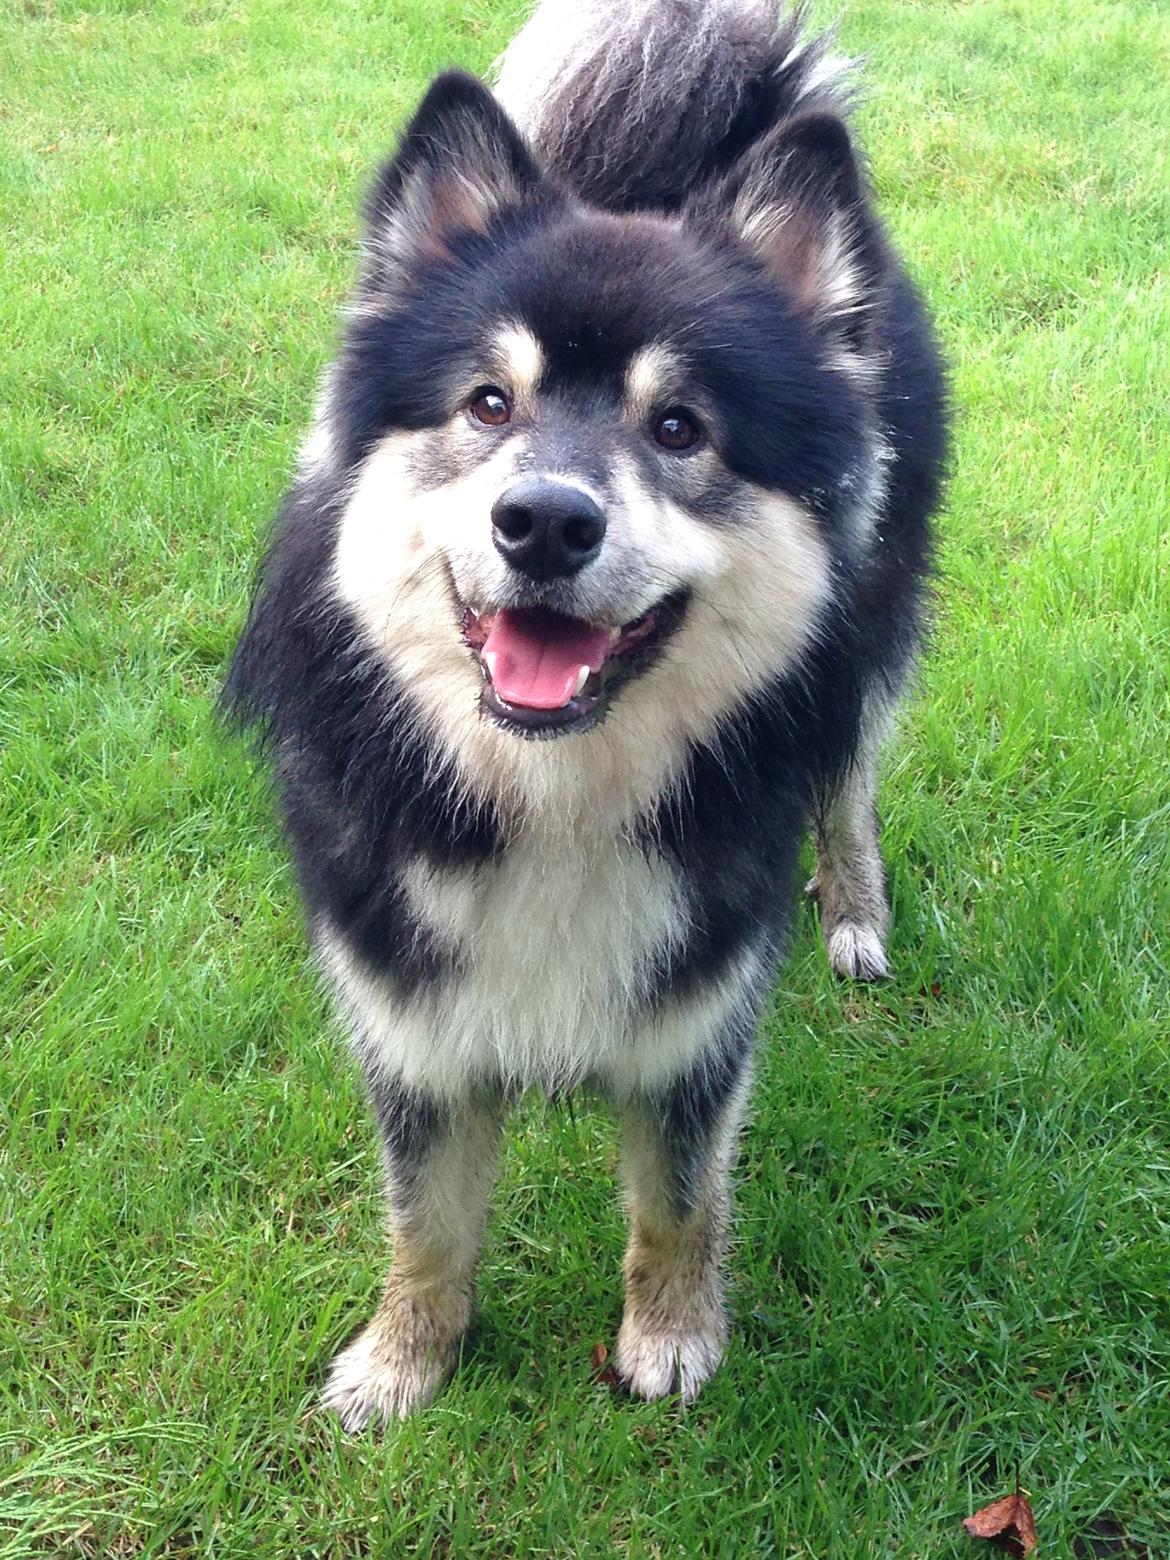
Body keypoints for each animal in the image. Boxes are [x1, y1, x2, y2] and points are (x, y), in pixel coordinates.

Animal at [221, 0, 954, 1428]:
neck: (554, 794)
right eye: (487, 403)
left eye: (679, 428)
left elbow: (678, 1202)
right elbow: (426, 1223)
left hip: (866, 648)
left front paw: (668, 1338)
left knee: (844, 779)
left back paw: (854, 910)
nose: (546, 522)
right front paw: (404, 1359)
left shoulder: (697, 1020)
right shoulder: (412, 1015)